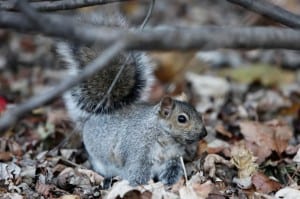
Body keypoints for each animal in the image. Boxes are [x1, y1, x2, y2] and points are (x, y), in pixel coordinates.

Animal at [56, 9, 207, 187]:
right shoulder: (138, 154)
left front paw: (168, 185)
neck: (164, 136)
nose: (204, 133)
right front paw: (143, 187)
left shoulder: (172, 159)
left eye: (199, 113)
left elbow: (171, 172)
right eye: (182, 119)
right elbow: (137, 174)